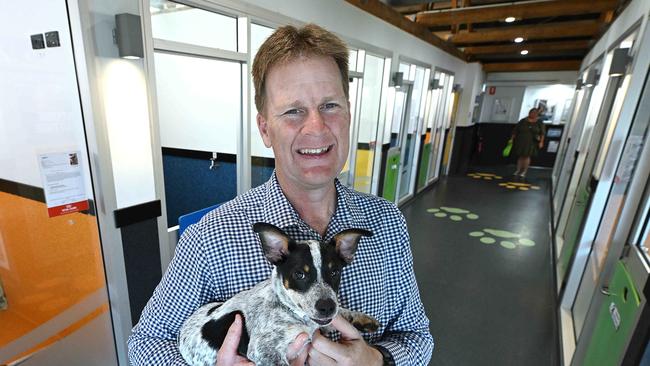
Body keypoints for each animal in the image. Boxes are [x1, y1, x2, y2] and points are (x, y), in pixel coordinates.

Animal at [177, 223, 380, 366]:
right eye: (299, 274)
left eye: (335, 272)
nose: (327, 307)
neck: (290, 311)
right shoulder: (264, 351)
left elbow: (339, 314)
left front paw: (359, 318)